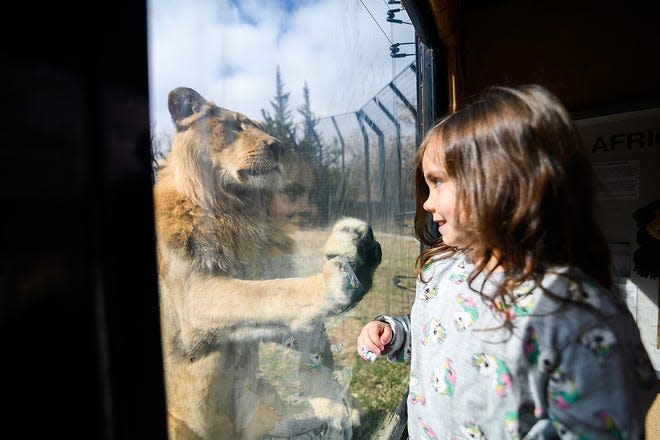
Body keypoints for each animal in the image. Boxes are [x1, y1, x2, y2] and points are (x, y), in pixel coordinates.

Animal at [153, 87, 382, 440]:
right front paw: (341, 277)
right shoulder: (193, 299)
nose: (278, 146)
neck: (236, 210)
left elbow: (306, 333)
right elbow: (271, 293)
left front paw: (331, 399)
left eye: (260, 127)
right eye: (234, 126)